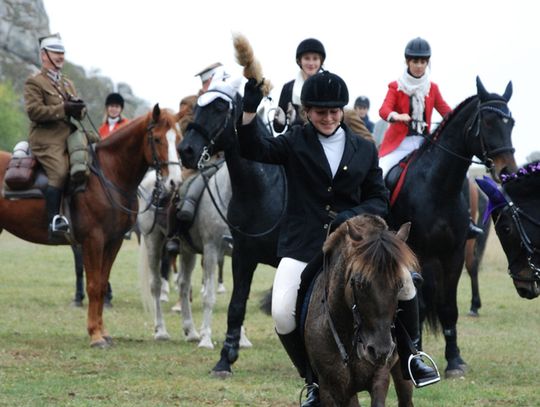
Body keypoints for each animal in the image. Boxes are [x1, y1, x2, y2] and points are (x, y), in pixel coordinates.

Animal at [0, 104, 182, 348]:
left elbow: (103, 284)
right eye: (157, 138)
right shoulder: (93, 240)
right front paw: (95, 335)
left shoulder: (113, 242)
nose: (174, 182)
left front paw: (103, 332)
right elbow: (94, 285)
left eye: (178, 140)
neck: (109, 175)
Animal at [179, 85, 284, 376]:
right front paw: (225, 359)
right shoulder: (242, 255)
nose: (186, 150)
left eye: (218, 108)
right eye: (196, 107)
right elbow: (236, 306)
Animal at [386, 77, 516, 380]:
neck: (438, 187)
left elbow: (448, 307)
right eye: (488, 122)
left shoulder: (452, 253)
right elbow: (420, 305)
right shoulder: (418, 252)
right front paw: (417, 355)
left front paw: (455, 359)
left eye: (512, 123)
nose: (507, 171)